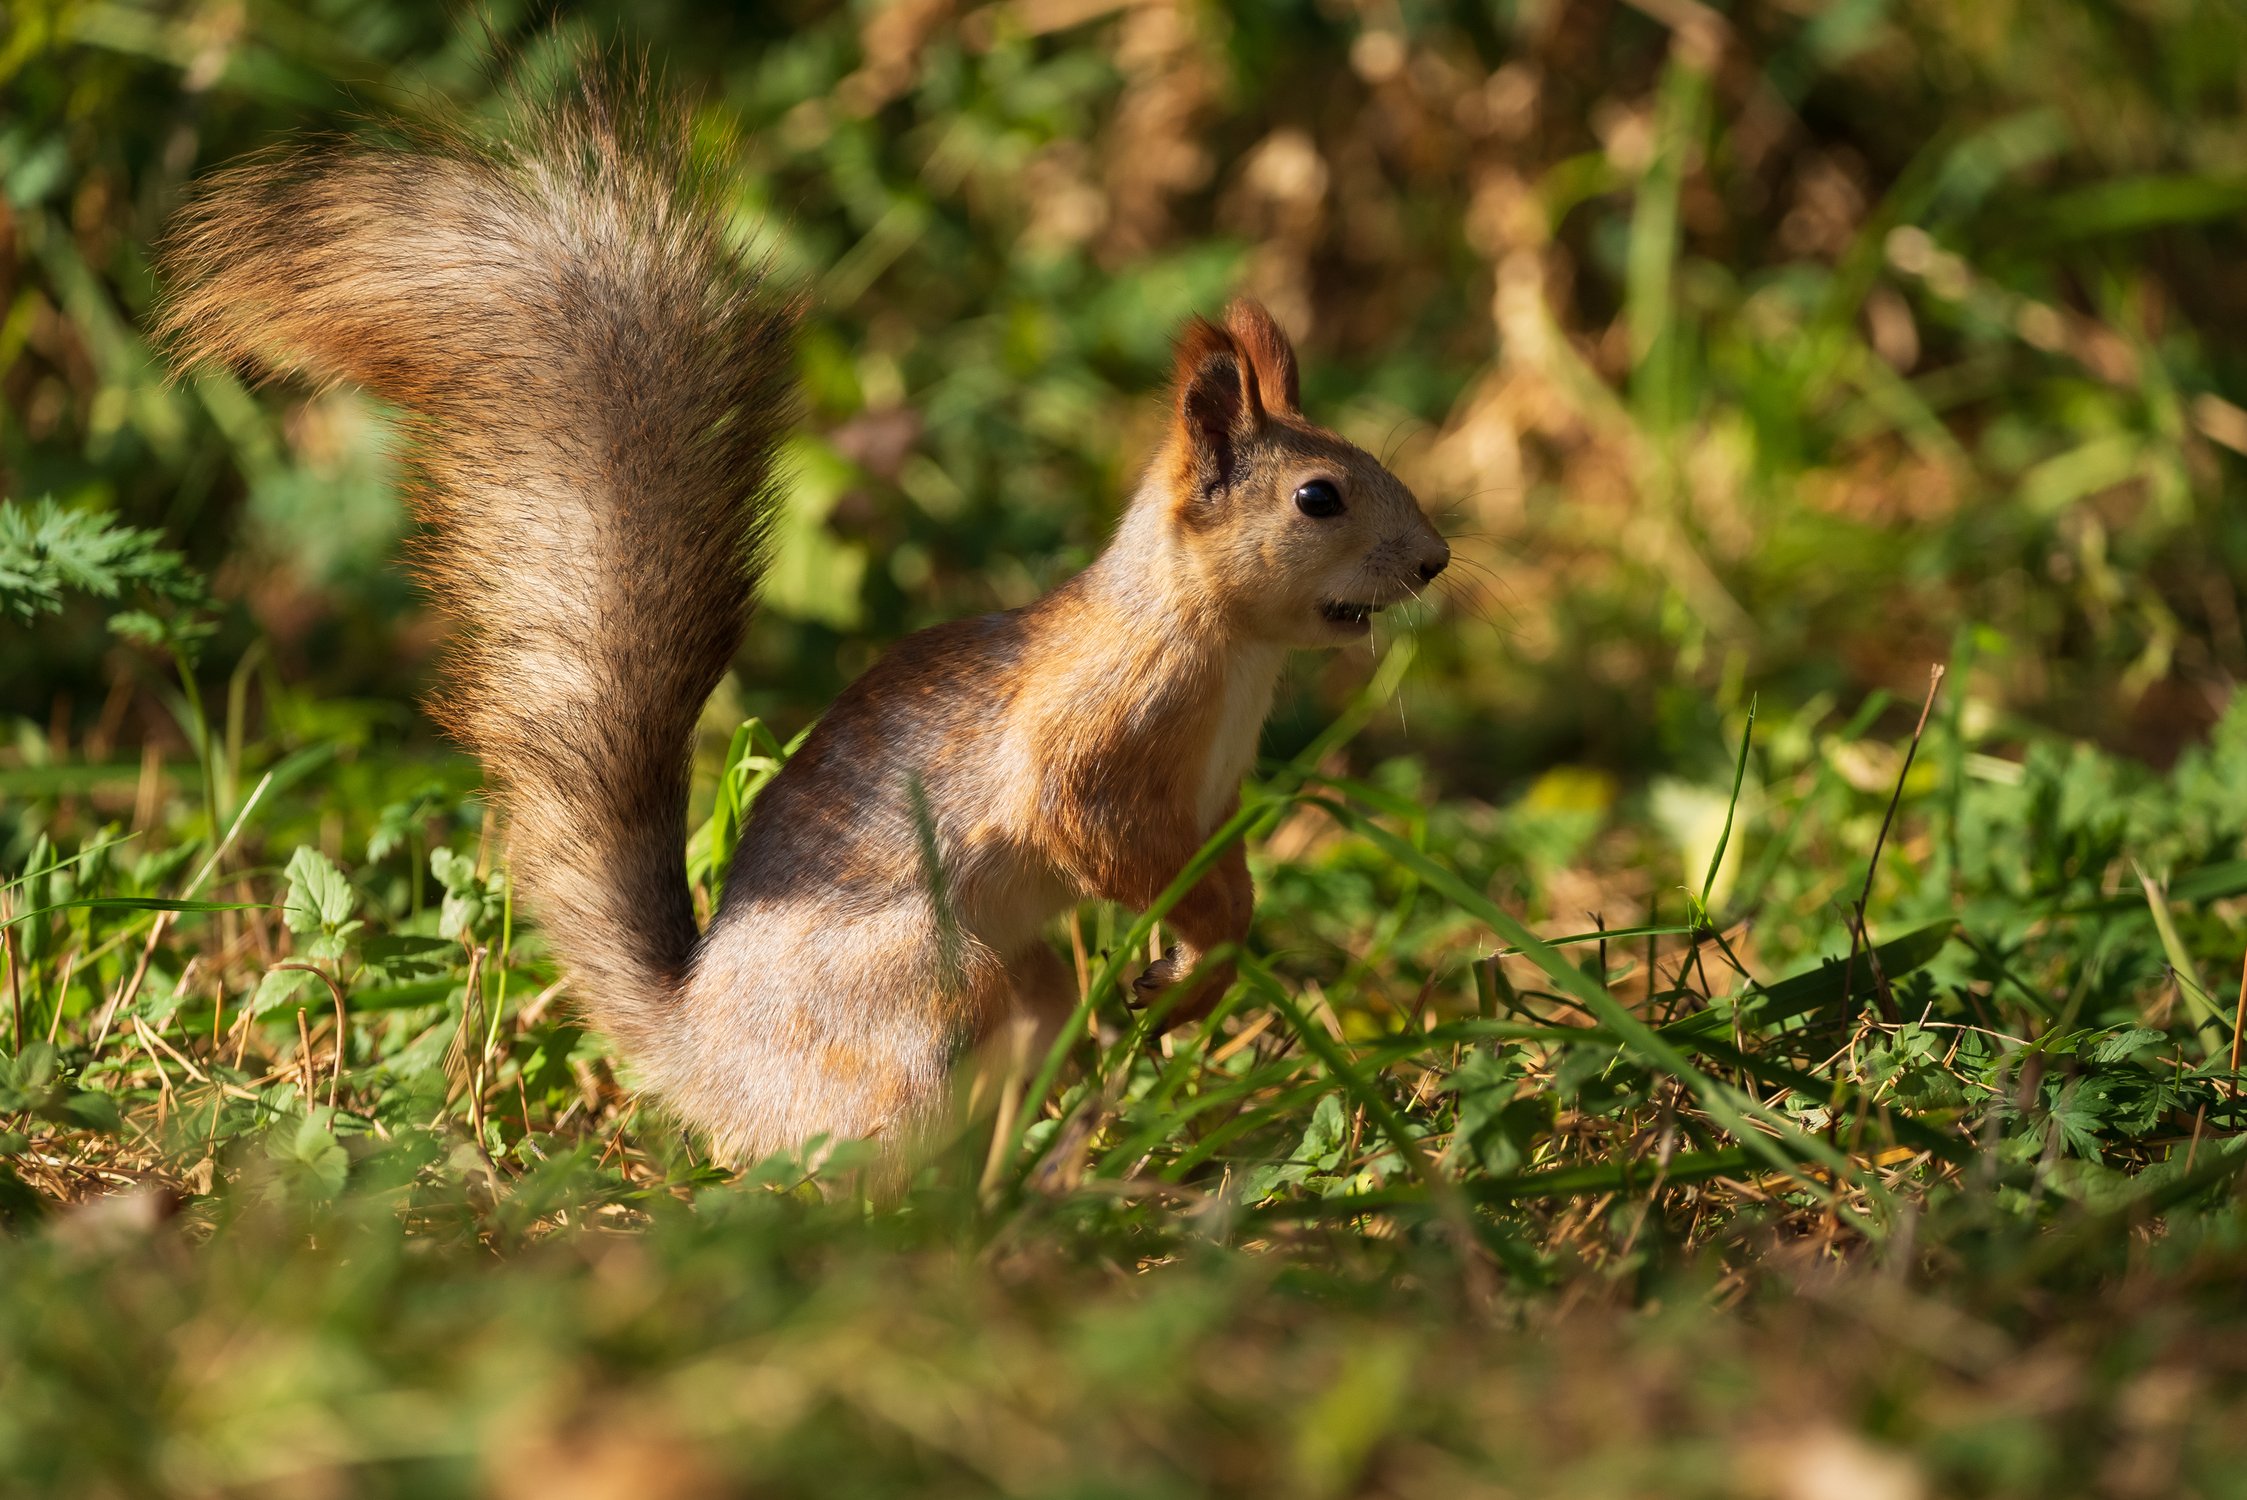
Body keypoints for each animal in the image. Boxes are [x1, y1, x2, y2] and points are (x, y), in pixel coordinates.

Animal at [162, 70, 1456, 1167]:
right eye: (1320, 496)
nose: (1437, 561)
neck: (1227, 649)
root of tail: (697, 1053)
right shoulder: (1094, 735)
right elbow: (1094, 828)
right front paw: (1202, 957)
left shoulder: (1214, 791)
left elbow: (1221, 863)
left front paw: (1207, 969)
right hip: (926, 985)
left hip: (1019, 989)